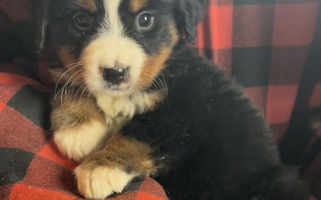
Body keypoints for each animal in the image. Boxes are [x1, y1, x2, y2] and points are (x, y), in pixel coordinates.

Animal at [29, 0, 308, 200]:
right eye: (82, 20)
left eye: (145, 20)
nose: (115, 73)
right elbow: (70, 81)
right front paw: (79, 129)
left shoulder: (186, 108)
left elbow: (139, 133)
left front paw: (100, 167)